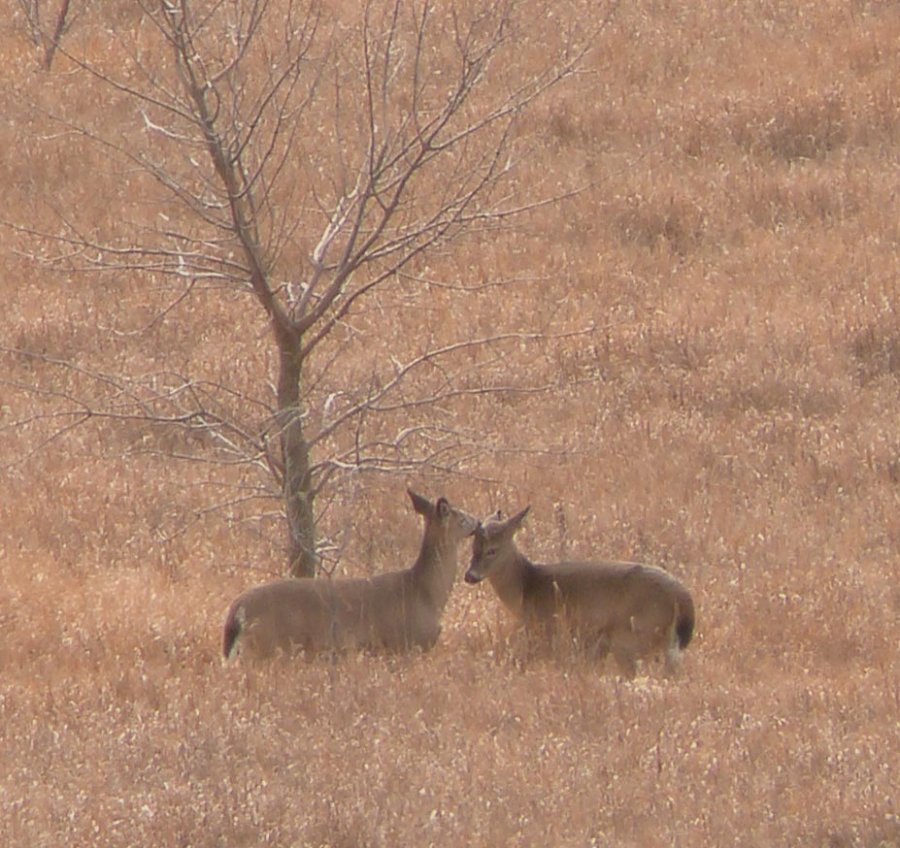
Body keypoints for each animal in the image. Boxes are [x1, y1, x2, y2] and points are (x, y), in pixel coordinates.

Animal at [222, 491, 477, 661]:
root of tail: (237, 609)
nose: (478, 522)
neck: (425, 592)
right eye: (462, 518)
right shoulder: (404, 644)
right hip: (266, 646)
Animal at [464, 507, 695, 677]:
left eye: (492, 550)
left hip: (631, 636)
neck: (527, 585)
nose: (470, 576)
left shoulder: (547, 631)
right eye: (473, 548)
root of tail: (684, 601)